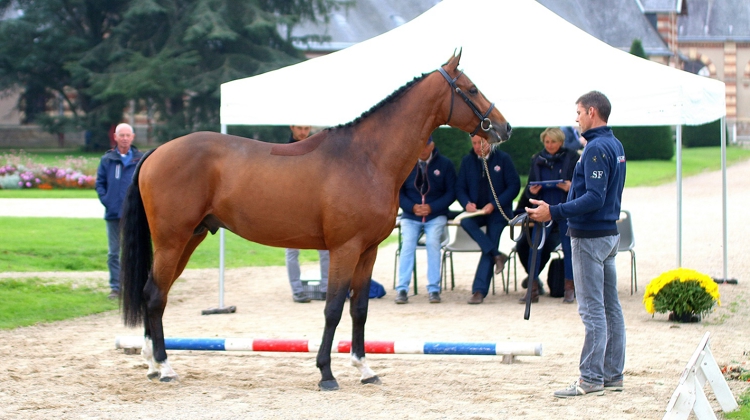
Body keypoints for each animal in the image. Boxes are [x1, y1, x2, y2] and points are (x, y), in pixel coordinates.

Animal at [120, 51, 516, 390]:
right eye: (471, 89)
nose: (505, 128)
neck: (366, 158)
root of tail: (157, 151)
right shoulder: (344, 249)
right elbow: (333, 308)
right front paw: (326, 373)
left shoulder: (368, 251)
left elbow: (359, 309)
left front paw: (365, 368)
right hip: (172, 240)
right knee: (154, 295)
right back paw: (165, 366)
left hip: (191, 238)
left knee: (155, 294)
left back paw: (152, 363)